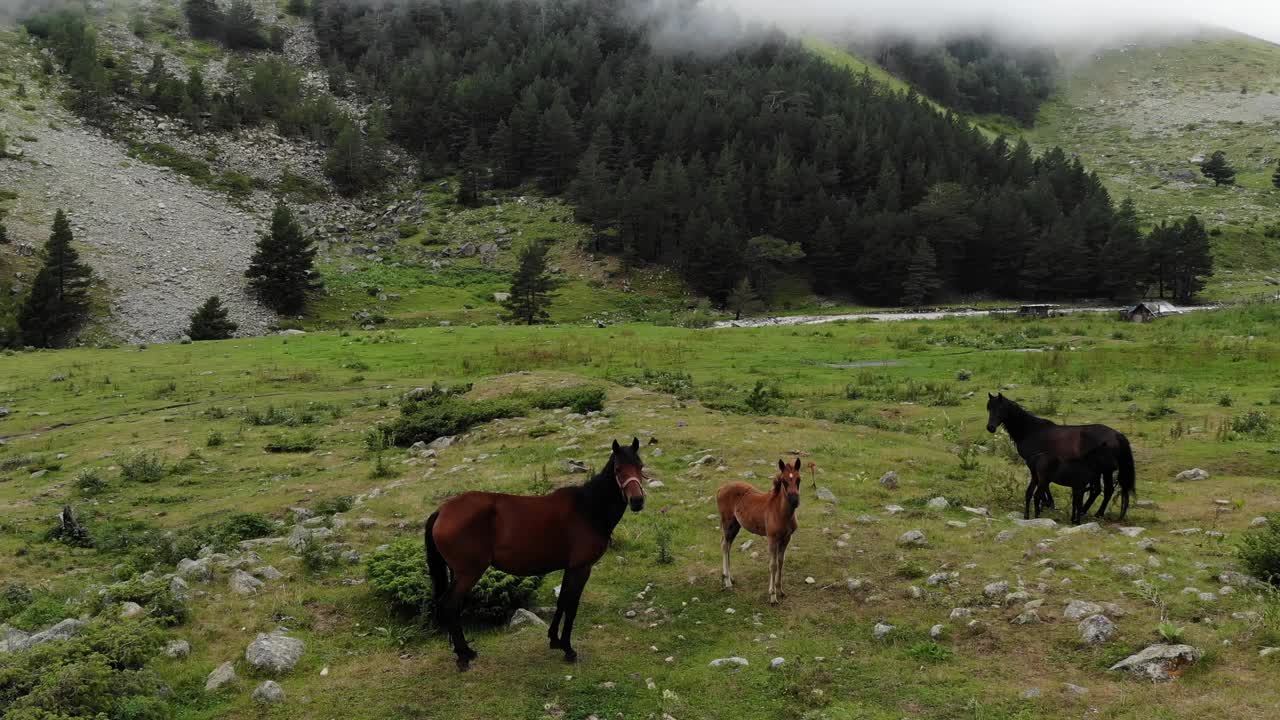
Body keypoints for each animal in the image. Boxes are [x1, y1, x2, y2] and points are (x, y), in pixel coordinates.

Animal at [424, 438, 645, 666]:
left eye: (640, 466)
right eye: (618, 469)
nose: (637, 501)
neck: (588, 509)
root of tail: (442, 511)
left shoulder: (569, 568)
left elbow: (562, 601)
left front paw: (555, 640)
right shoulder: (581, 568)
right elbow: (571, 607)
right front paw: (568, 649)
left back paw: (465, 651)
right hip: (469, 573)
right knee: (450, 606)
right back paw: (463, 655)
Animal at [711, 456, 798, 602]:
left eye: (799, 479)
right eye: (784, 481)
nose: (795, 500)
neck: (780, 511)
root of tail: (721, 488)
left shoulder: (786, 538)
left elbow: (781, 562)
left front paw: (780, 590)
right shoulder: (772, 538)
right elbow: (773, 565)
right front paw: (772, 596)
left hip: (736, 525)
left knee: (727, 545)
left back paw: (729, 577)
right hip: (728, 523)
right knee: (724, 545)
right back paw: (728, 582)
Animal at [983, 389, 1136, 517]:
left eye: (1000, 408)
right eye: (989, 408)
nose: (990, 427)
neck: (1030, 430)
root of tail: (1117, 435)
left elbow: (1044, 485)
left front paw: (1046, 504)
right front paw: (1047, 504)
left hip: (1105, 471)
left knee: (1105, 490)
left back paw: (1095, 513)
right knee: (1099, 490)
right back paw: (1085, 511)